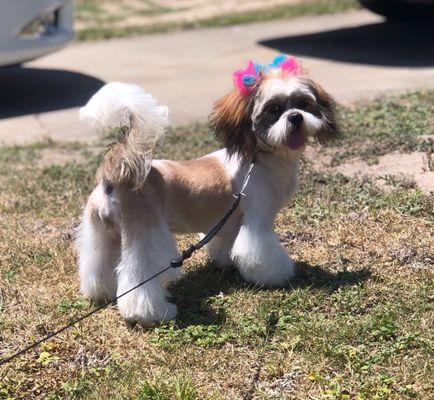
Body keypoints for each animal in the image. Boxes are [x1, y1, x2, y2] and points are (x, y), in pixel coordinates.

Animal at [76, 54, 338, 324]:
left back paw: (101, 291)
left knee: (98, 265)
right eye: (274, 109)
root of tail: (117, 173)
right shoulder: (258, 219)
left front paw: (227, 261)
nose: (296, 117)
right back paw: (154, 312)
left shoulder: (229, 220)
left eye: (304, 103)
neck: (260, 160)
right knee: (137, 277)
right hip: (146, 235)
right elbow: (260, 252)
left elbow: (227, 243)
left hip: (102, 234)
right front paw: (277, 274)